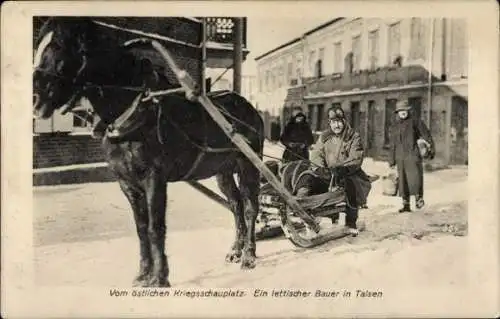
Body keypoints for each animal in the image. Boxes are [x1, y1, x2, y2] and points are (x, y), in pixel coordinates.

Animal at [32, 16, 264, 288]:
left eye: (60, 46)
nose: (36, 98)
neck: (133, 108)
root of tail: (249, 107)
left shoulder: (154, 178)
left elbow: (156, 227)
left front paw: (160, 277)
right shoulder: (127, 183)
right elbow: (141, 228)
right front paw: (143, 274)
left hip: (249, 165)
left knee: (250, 207)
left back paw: (249, 255)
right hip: (223, 171)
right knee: (235, 205)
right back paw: (235, 250)